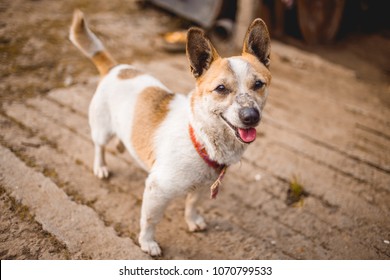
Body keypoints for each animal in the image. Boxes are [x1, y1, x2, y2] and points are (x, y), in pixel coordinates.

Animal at [69, 10, 272, 256]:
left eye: (258, 84)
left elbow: (191, 205)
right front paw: (147, 243)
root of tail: (114, 68)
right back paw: (101, 167)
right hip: (101, 129)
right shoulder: (157, 189)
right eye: (221, 89)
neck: (199, 137)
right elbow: (149, 220)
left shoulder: (201, 187)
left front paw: (193, 221)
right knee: (99, 147)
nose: (251, 116)